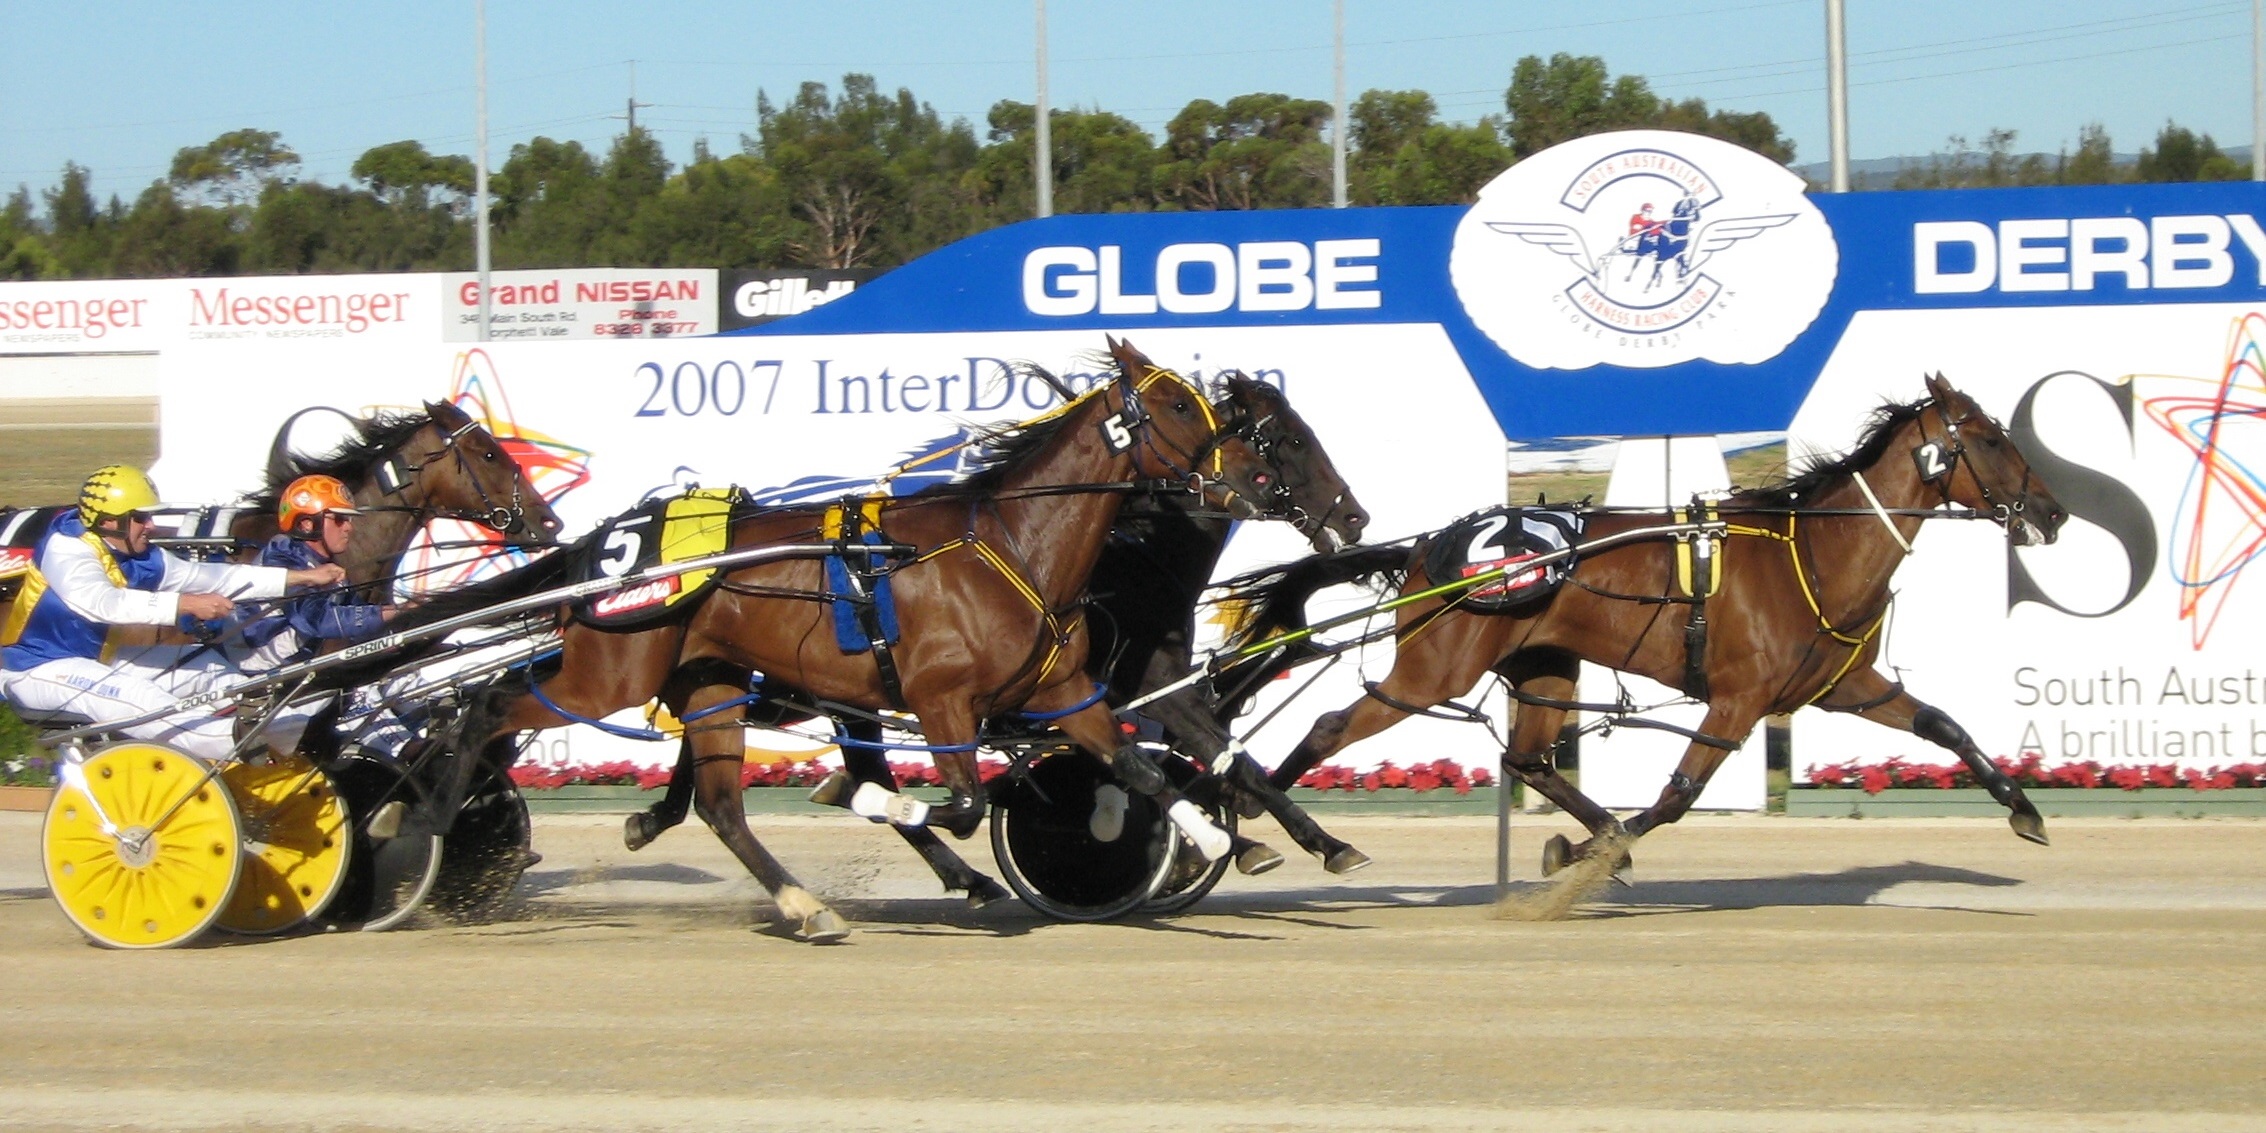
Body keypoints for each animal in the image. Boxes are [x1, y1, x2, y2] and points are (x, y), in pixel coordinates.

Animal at [435, 336, 1284, 940]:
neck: (1010, 546)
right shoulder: (941, 700)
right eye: (1177, 407)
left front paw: (1215, 836)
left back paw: (803, 903)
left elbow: (1133, 768)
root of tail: (604, 547)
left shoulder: (1066, 691)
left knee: (720, 805)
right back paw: (443, 828)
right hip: (609, 675)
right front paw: (859, 795)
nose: (1256, 477)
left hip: (708, 684)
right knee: (488, 705)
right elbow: (964, 802)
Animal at [623, 371, 1376, 901]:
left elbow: (1229, 758)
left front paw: (1307, 842)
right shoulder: (1130, 685)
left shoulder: (1154, 683)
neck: (1127, 558)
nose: (1355, 517)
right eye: (1290, 439)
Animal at [1237, 373, 2067, 878]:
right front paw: (1588, 859)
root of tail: (1429, 547)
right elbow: (1675, 798)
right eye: (1989, 437)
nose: (2052, 511)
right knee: (1328, 726)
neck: (1812, 551)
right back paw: (1273, 816)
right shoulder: (1738, 700)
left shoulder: (1846, 684)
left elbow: (1944, 725)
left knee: (1527, 759)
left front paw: (2026, 811)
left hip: (1545, 667)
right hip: (1432, 670)